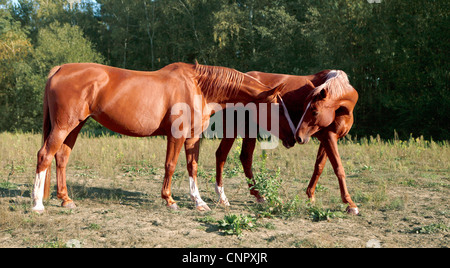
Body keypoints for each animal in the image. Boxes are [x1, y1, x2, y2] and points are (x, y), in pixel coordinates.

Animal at [31, 62, 292, 214]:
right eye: (277, 108)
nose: (292, 138)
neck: (198, 86)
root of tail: (60, 69)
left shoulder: (192, 138)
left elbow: (192, 167)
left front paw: (199, 202)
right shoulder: (176, 135)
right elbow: (170, 165)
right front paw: (169, 200)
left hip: (75, 126)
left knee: (61, 158)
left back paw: (65, 199)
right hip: (64, 126)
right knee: (44, 155)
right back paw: (37, 204)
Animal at [214, 70, 358, 215]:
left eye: (314, 111)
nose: (298, 136)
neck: (341, 109)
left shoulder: (326, 139)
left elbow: (319, 167)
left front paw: (310, 196)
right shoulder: (328, 137)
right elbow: (338, 168)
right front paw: (350, 203)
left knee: (244, 157)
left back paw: (258, 195)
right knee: (223, 155)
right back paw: (223, 197)